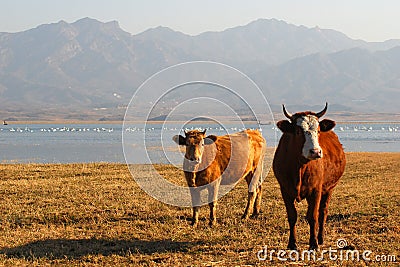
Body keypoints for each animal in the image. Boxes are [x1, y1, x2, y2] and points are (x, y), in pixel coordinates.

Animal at [274, 103, 346, 251]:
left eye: (318, 131)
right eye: (298, 131)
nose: (316, 152)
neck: (299, 168)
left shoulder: (315, 190)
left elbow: (313, 216)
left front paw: (313, 243)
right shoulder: (285, 190)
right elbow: (292, 216)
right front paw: (292, 243)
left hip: (329, 189)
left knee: (322, 212)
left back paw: (320, 238)